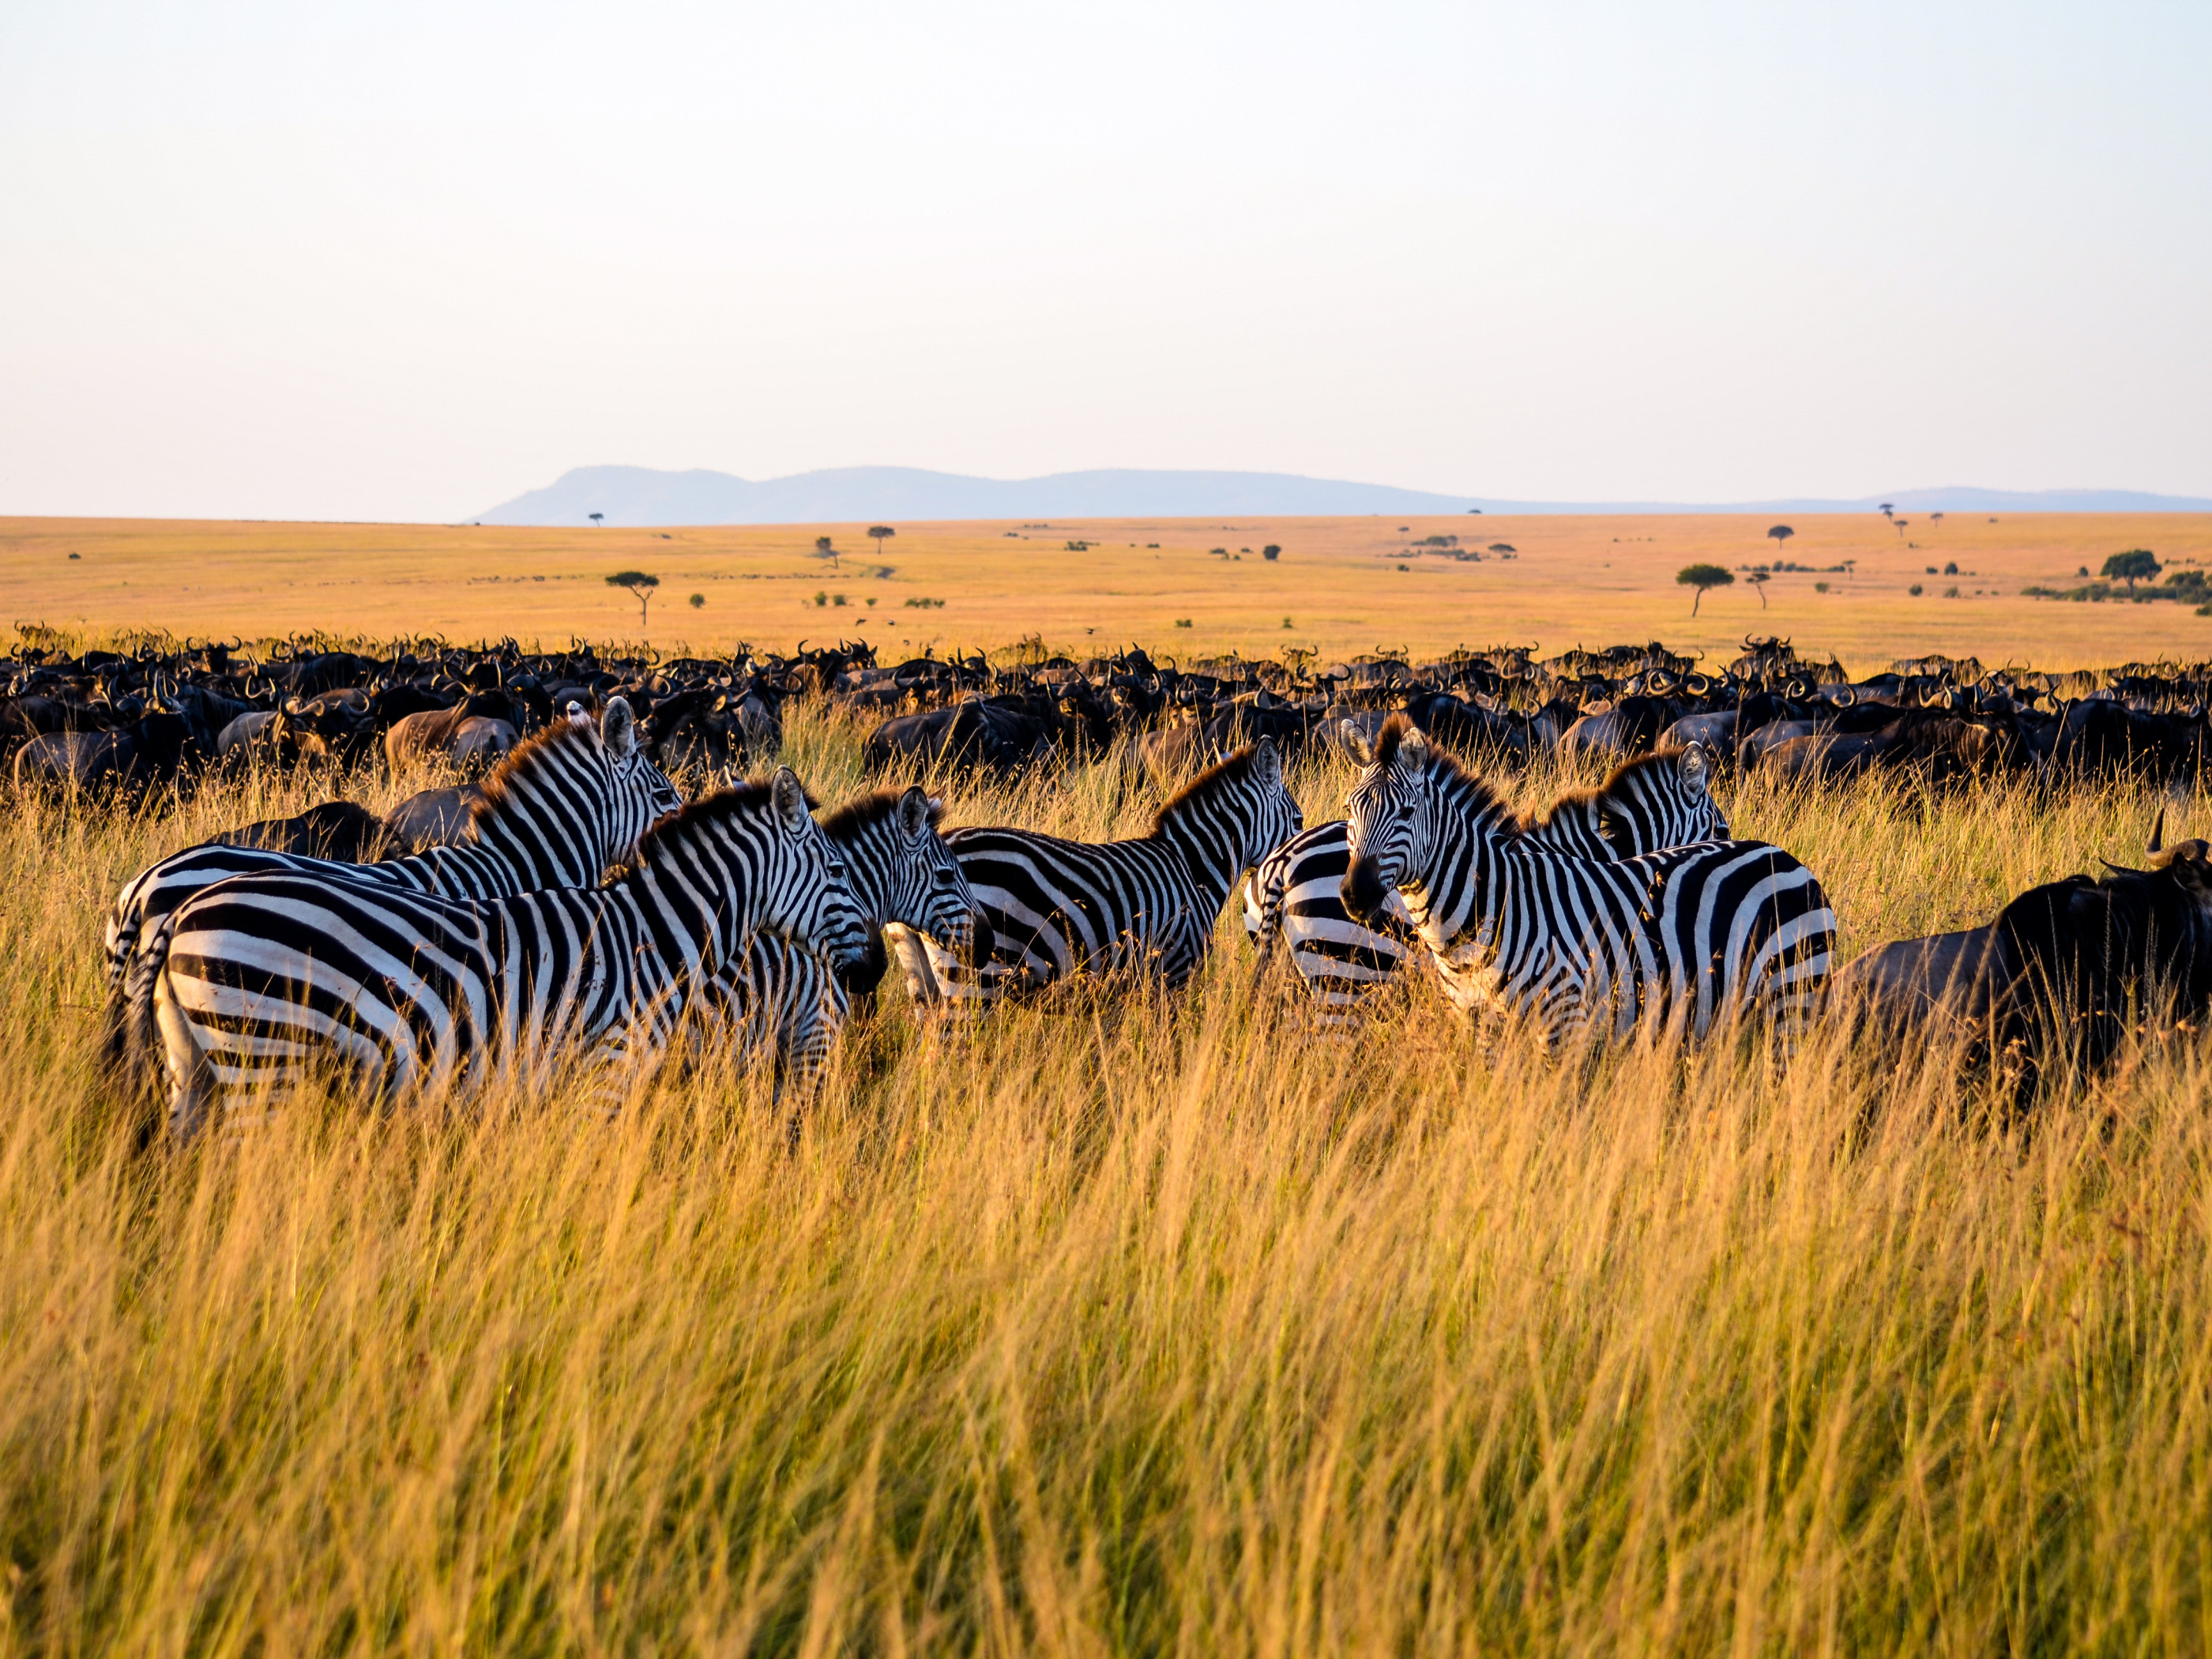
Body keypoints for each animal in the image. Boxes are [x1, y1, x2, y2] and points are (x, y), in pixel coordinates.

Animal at [144, 771, 869, 1139]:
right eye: (837, 870)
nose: (875, 972)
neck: (653, 937)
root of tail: (178, 912)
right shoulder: (606, 1070)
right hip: (261, 1056)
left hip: (195, 1066)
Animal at [1338, 717, 1833, 1046]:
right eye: (1349, 808)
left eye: (1406, 813)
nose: (1355, 894)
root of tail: (1787, 857)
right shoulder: (1483, 1028)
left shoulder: (1567, 1023)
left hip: (1791, 999)